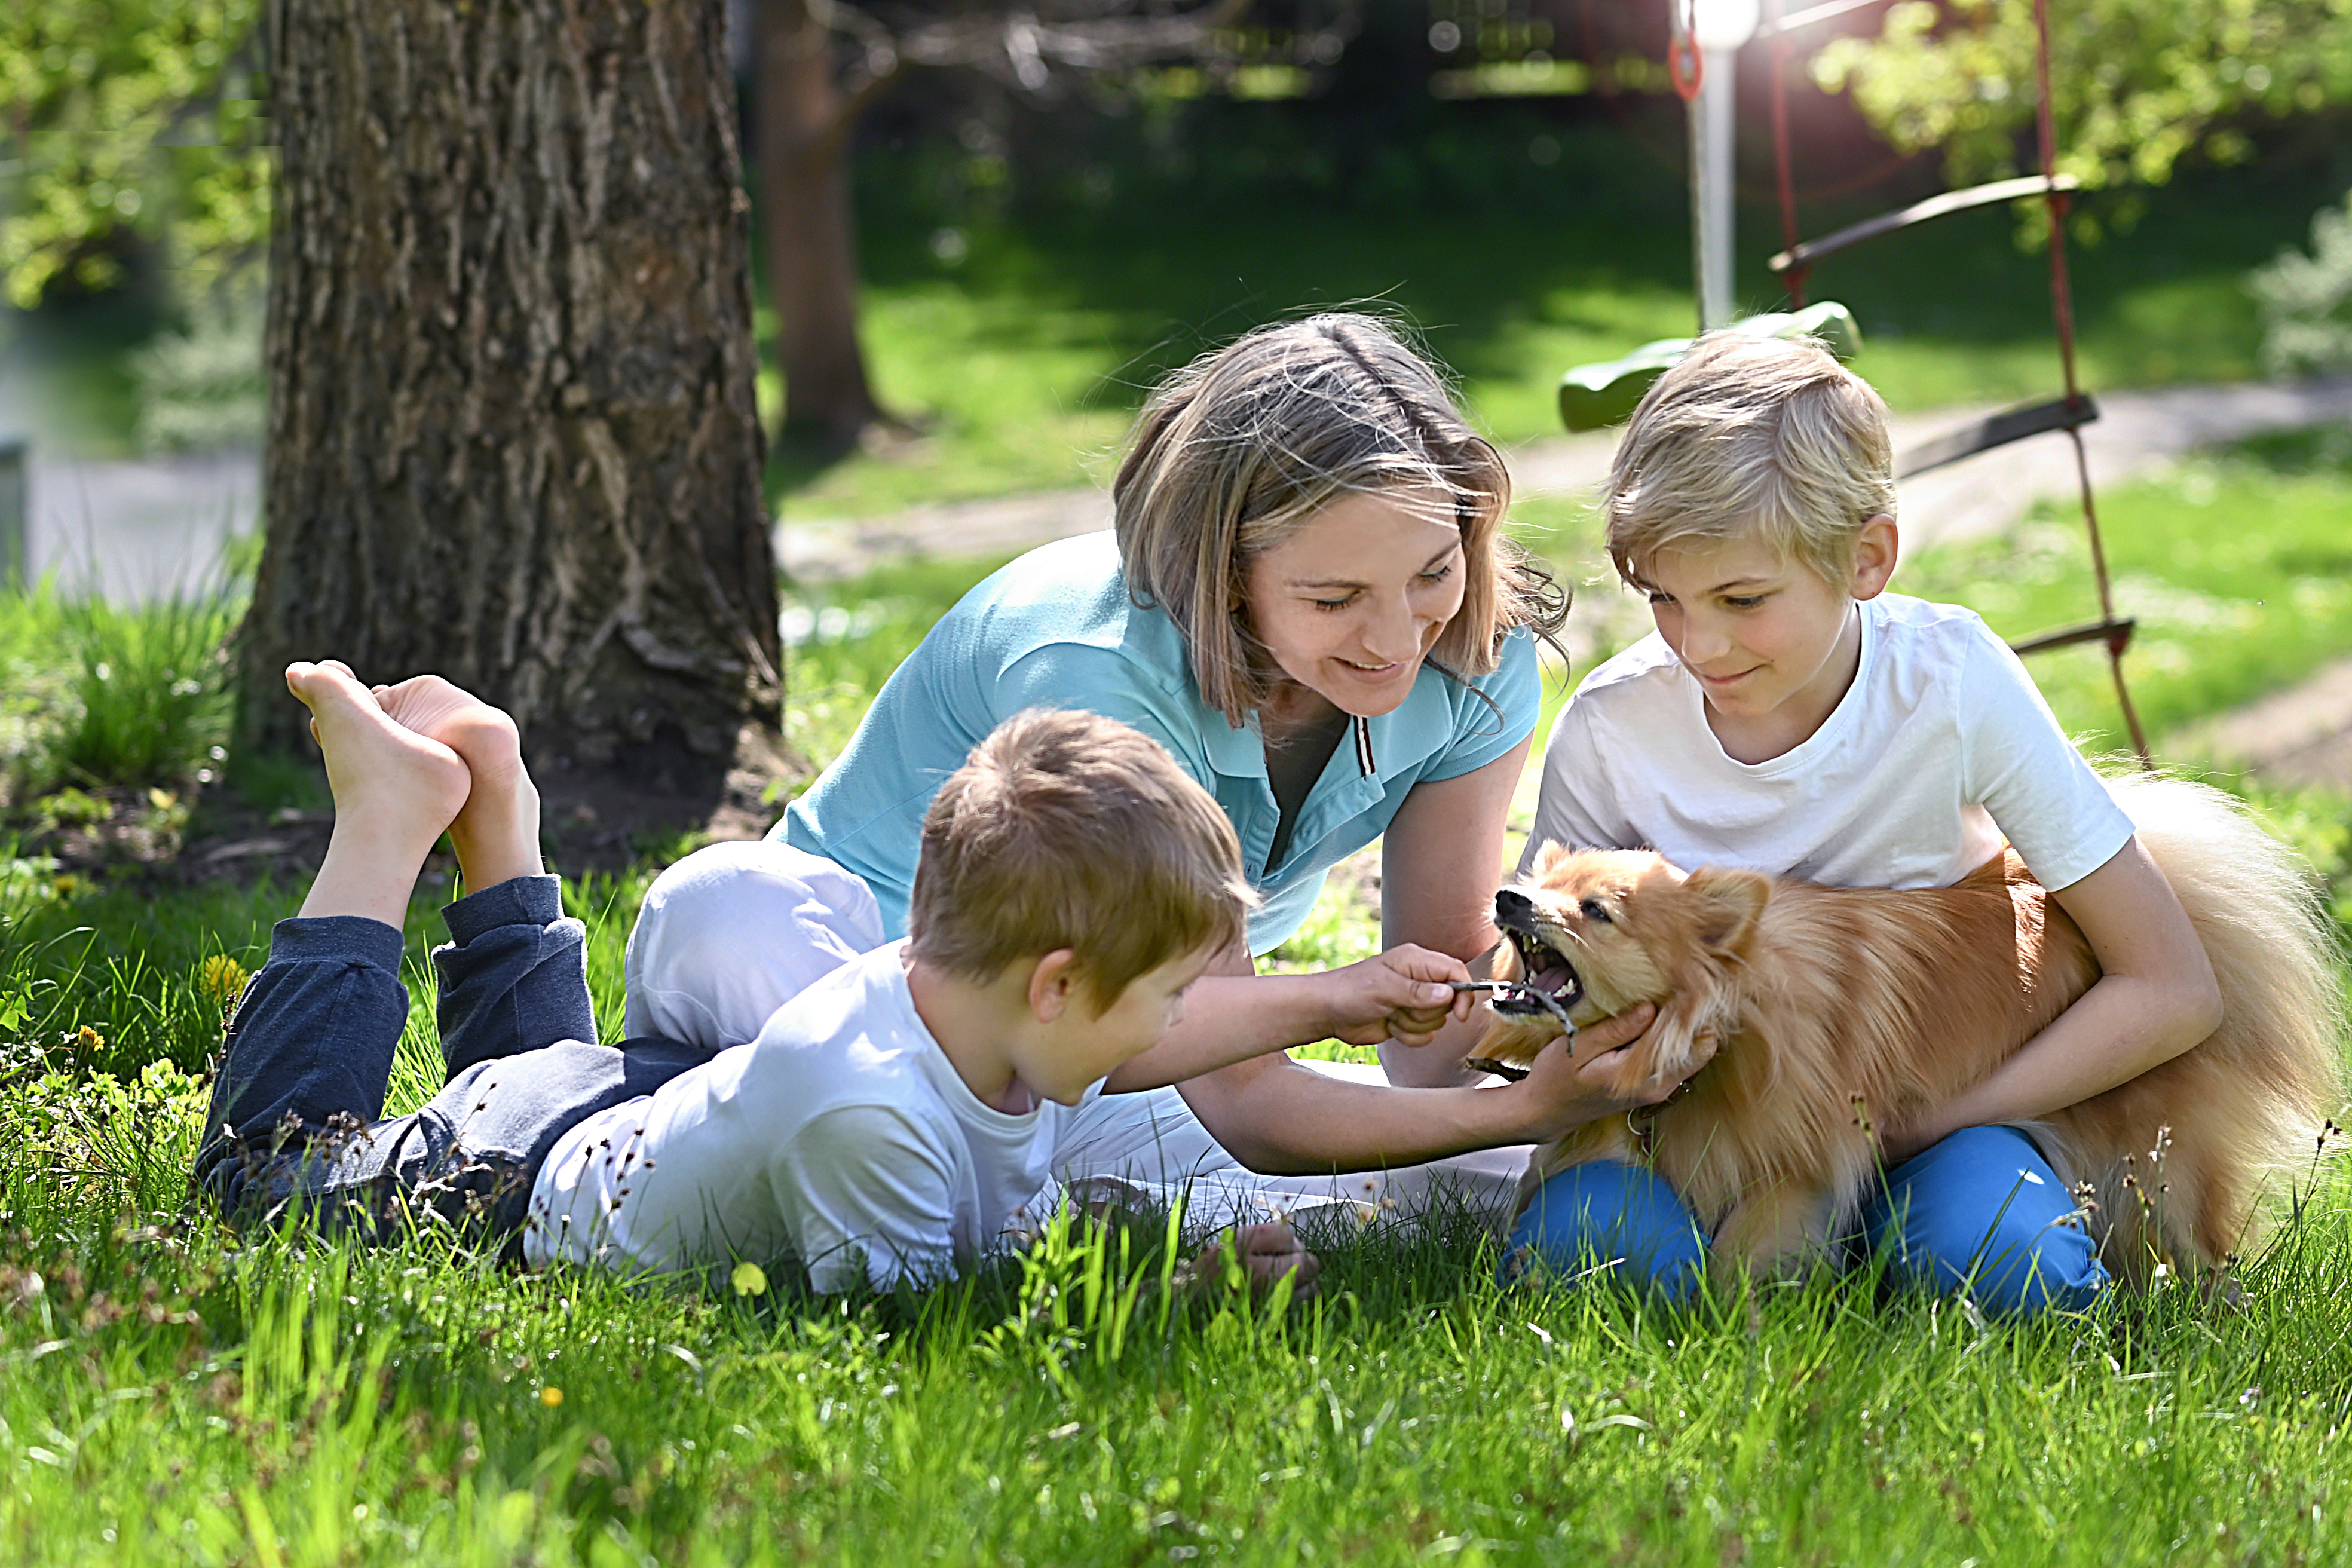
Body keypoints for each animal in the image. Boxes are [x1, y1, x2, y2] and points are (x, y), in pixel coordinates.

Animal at [1477, 780, 2342, 1297]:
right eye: (1543, 885)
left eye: (1596, 911)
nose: (1508, 894)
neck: (1732, 1029)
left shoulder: (1798, 1167)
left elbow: (1743, 1249)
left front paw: (1739, 1318)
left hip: (2157, 1166)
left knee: (2195, 1243)